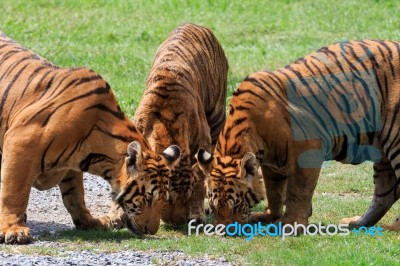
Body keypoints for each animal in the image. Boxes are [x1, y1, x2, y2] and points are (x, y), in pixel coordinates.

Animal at [0, 32, 180, 244]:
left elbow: (75, 195)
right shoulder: (21, 142)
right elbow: (14, 192)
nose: (151, 231)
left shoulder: (70, 165)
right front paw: (14, 230)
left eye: (163, 199)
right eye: (148, 198)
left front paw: (90, 222)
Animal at [133, 23, 228, 231]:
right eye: (167, 198)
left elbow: (200, 180)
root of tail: (196, 24)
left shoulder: (203, 141)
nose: (177, 223)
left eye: (188, 195)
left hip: (216, 117)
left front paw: (197, 214)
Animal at [196, 39, 400, 231]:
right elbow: (274, 192)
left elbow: (298, 191)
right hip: (382, 155)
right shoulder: (272, 165)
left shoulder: (308, 150)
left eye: (237, 206)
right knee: (386, 192)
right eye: (214, 208)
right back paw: (356, 223)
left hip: (395, 140)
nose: (225, 231)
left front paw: (291, 224)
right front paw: (268, 215)